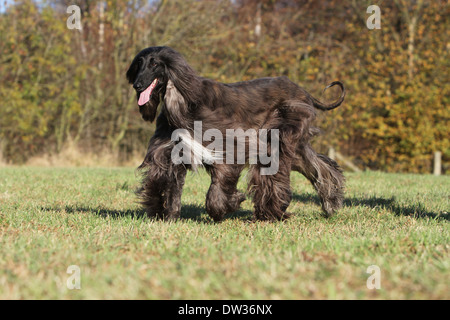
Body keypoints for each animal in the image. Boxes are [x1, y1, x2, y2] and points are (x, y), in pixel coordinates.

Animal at [126, 46, 344, 221]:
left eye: (155, 64)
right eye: (139, 64)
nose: (137, 85)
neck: (184, 101)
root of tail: (303, 92)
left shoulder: (231, 143)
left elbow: (219, 183)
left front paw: (221, 208)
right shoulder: (171, 151)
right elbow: (169, 183)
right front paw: (167, 215)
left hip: (279, 131)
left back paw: (270, 212)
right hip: (294, 143)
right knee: (318, 165)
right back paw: (331, 202)